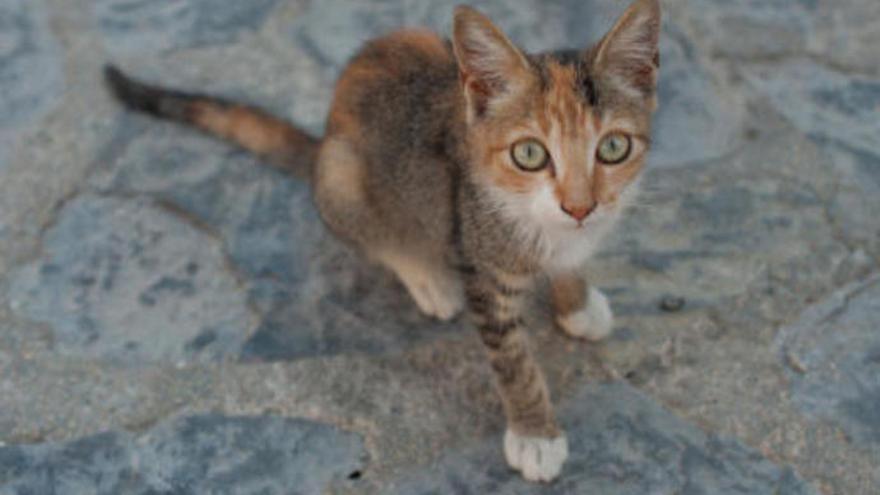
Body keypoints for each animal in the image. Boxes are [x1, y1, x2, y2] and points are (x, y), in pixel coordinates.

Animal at [103, 0, 660, 482]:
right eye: (529, 154)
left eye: (613, 147)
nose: (580, 207)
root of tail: (323, 140)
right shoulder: (480, 263)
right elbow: (513, 360)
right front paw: (535, 435)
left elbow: (572, 262)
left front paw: (577, 300)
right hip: (341, 180)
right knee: (377, 237)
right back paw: (427, 278)